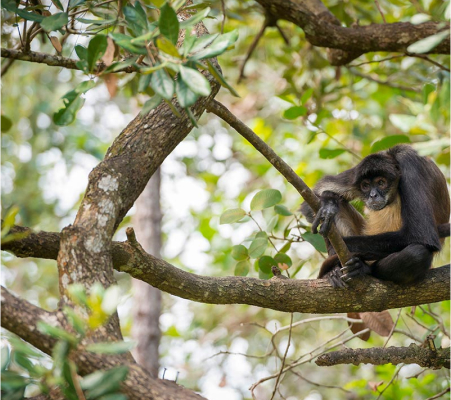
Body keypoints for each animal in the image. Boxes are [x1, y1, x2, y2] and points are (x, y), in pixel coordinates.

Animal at [302, 145, 450, 288]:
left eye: (381, 183)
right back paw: (333, 272)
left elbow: (423, 235)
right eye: (366, 185)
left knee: (417, 253)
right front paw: (328, 205)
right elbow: (317, 193)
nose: (373, 195)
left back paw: (364, 269)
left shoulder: (408, 160)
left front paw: (337, 249)